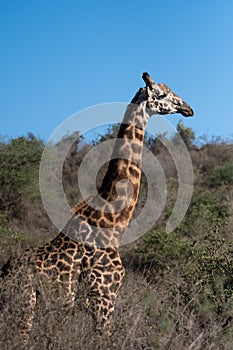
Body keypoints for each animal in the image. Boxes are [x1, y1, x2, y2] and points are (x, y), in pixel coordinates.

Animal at [0, 72, 193, 348]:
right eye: (162, 94)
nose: (188, 108)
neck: (114, 224)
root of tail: (4, 274)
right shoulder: (104, 293)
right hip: (25, 304)